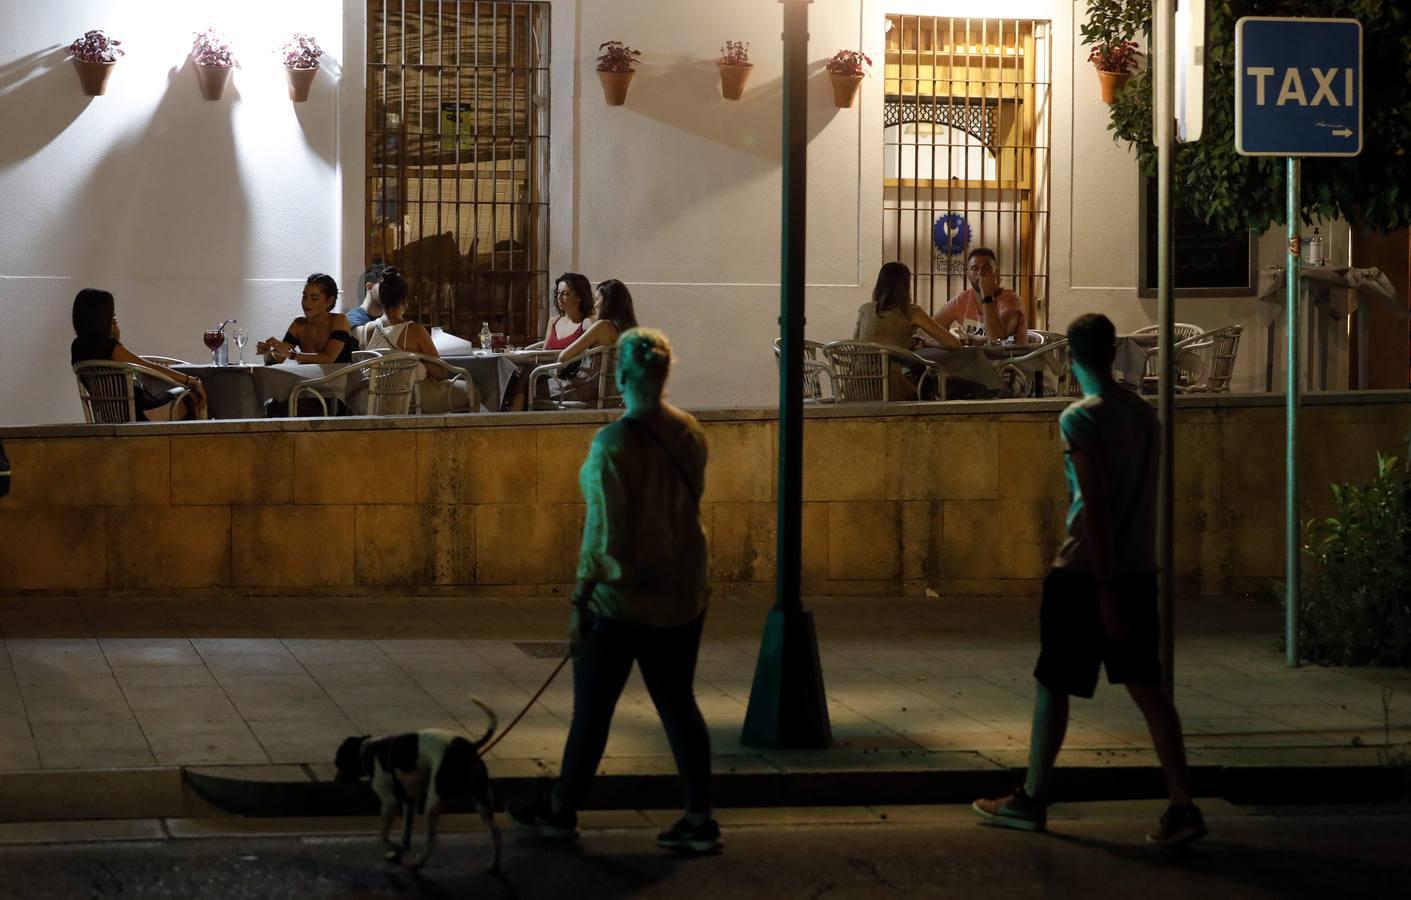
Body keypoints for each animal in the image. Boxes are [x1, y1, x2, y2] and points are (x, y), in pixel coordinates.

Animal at [334, 699, 502, 874]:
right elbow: (405, 835)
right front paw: (398, 853)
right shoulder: (410, 801)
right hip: (481, 800)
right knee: (496, 832)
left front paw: (395, 847)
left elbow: (383, 835)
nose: (336, 781)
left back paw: (417, 864)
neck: (368, 750)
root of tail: (469, 747)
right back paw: (494, 865)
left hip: (433, 804)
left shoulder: (389, 801)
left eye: (338, 763)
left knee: (432, 841)